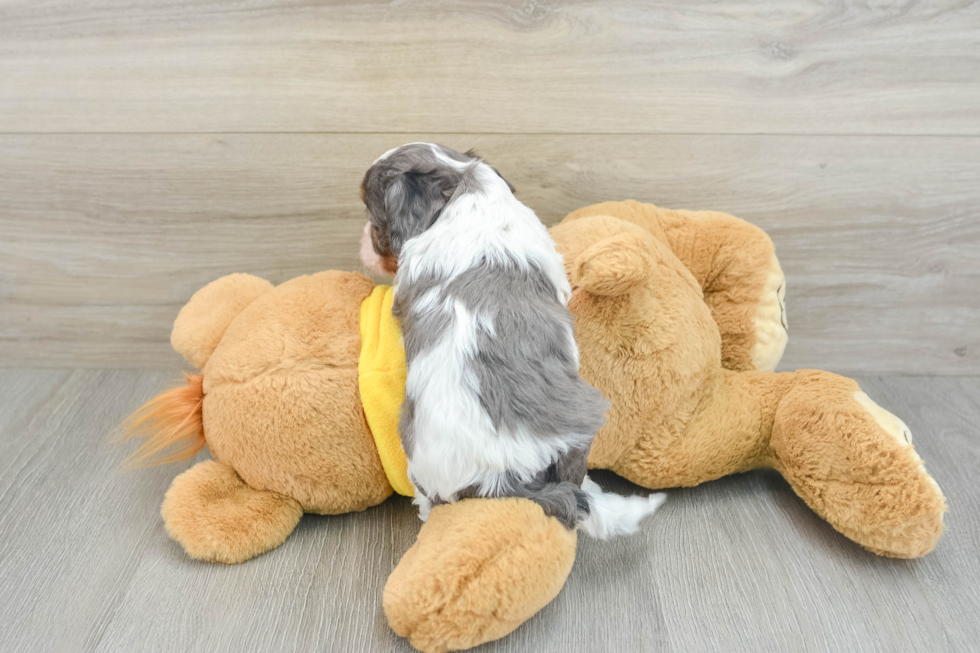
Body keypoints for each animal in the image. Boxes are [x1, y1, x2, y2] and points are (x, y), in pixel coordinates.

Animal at [356, 141, 664, 536]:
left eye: (373, 214)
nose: (365, 238)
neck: (464, 187)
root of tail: (500, 478)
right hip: (582, 424)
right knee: (574, 476)